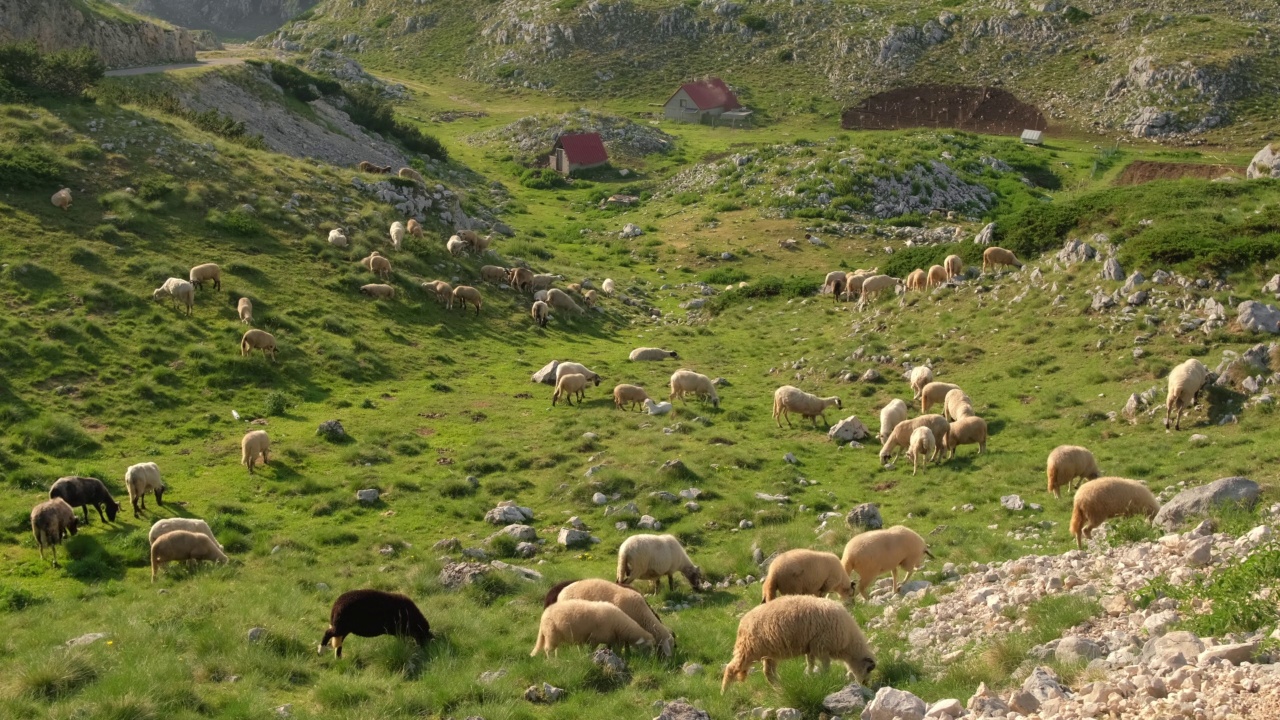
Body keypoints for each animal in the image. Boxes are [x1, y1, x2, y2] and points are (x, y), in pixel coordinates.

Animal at [727, 591, 875, 691]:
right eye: (868, 669)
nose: (866, 685)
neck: (848, 642)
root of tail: (743, 622)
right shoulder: (822, 646)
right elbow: (826, 665)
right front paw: (825, 677)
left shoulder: (812, 646)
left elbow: (810, 663)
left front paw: (809, 675)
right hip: (748, 649)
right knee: (731, 668)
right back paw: (725, 692)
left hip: (768, 653)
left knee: (769, 672)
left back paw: (780, 688)